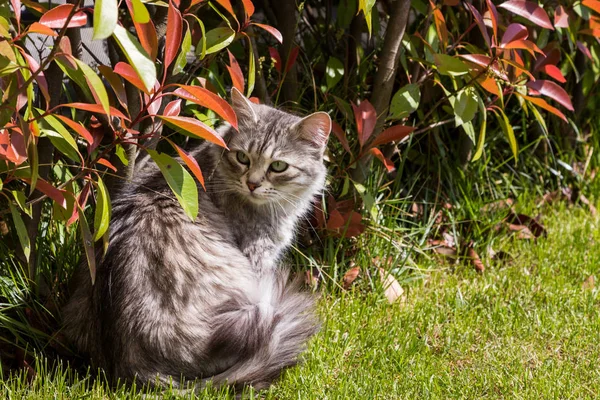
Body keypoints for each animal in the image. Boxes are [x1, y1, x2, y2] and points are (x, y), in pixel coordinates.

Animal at [61, 87, 332, 390]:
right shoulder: (258, 256)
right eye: (242, 158)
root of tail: (132, 368)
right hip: (252, 306)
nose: (252, 183)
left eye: (279, 166)